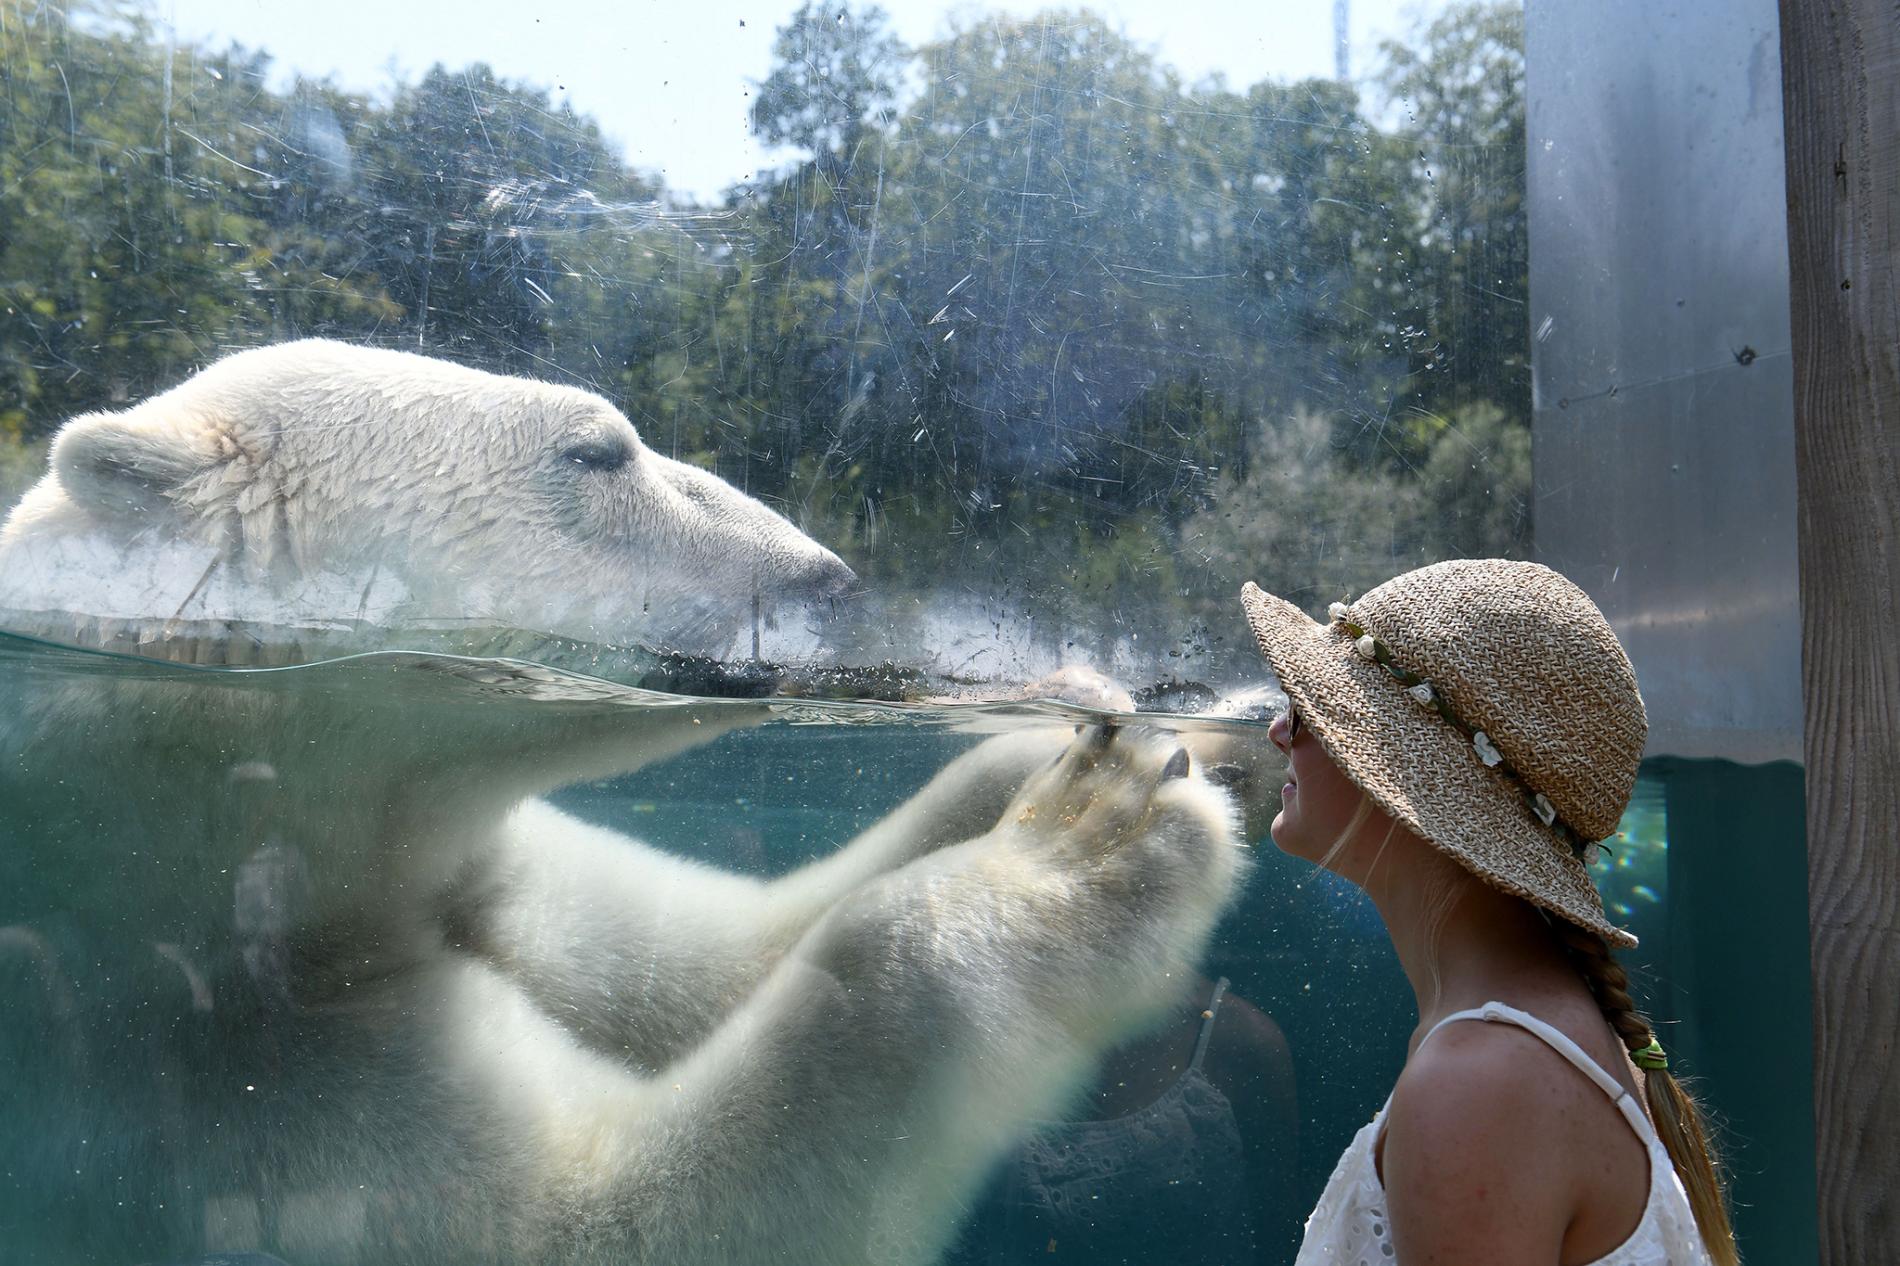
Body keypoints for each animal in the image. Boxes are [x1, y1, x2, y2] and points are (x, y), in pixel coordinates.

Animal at [0, 340, 1246, 1254]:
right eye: (596, 450)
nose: (828, 579)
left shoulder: (466, 866)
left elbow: (701, 961)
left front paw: (1114, 722)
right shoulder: (189, 1067)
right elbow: (606, 1220)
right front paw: (1093, 840)